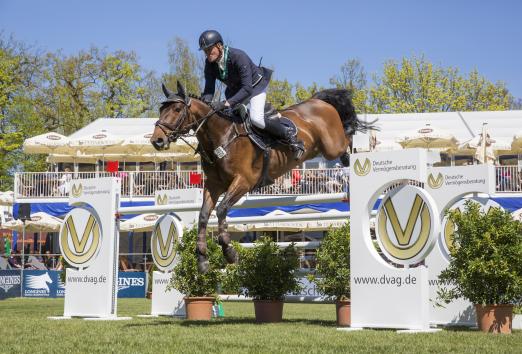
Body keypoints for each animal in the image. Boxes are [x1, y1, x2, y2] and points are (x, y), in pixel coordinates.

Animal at [150, 81, 374, 272]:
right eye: (161, 110)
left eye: (177, 110)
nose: (157, 141)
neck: (222, 137)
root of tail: (319, 101)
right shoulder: (214, 185)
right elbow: (204, 215)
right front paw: (202, 260)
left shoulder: (244, 181)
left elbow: (222, 209)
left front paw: (229, 252)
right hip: (319, 149)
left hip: (331, 146)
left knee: (349, 138)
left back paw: (361, 151)